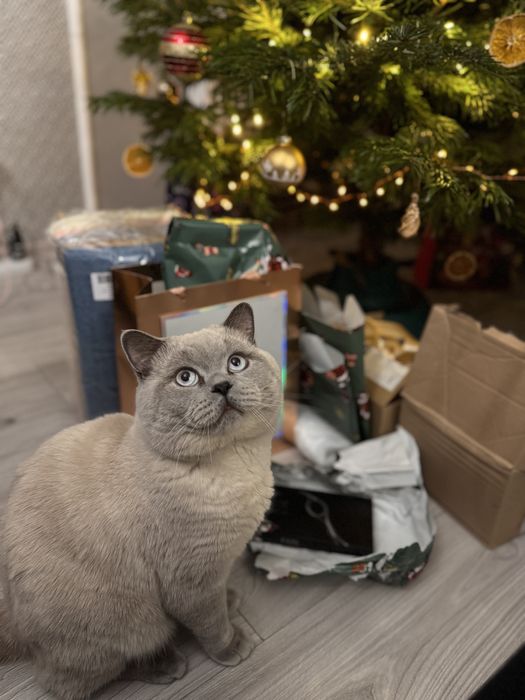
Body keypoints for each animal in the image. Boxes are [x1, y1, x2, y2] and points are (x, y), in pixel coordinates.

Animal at [0, 302, 281, 700]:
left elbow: (219, 598)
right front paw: (231, 646)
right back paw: (166, 665)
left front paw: (230, 599)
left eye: (236, 363)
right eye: (186, 378)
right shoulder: (191, 579)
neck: (238, 465)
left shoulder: (219, 562)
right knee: (77, 678)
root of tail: (11, 616)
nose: (222, 386)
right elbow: (211, 623)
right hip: (128, 625)